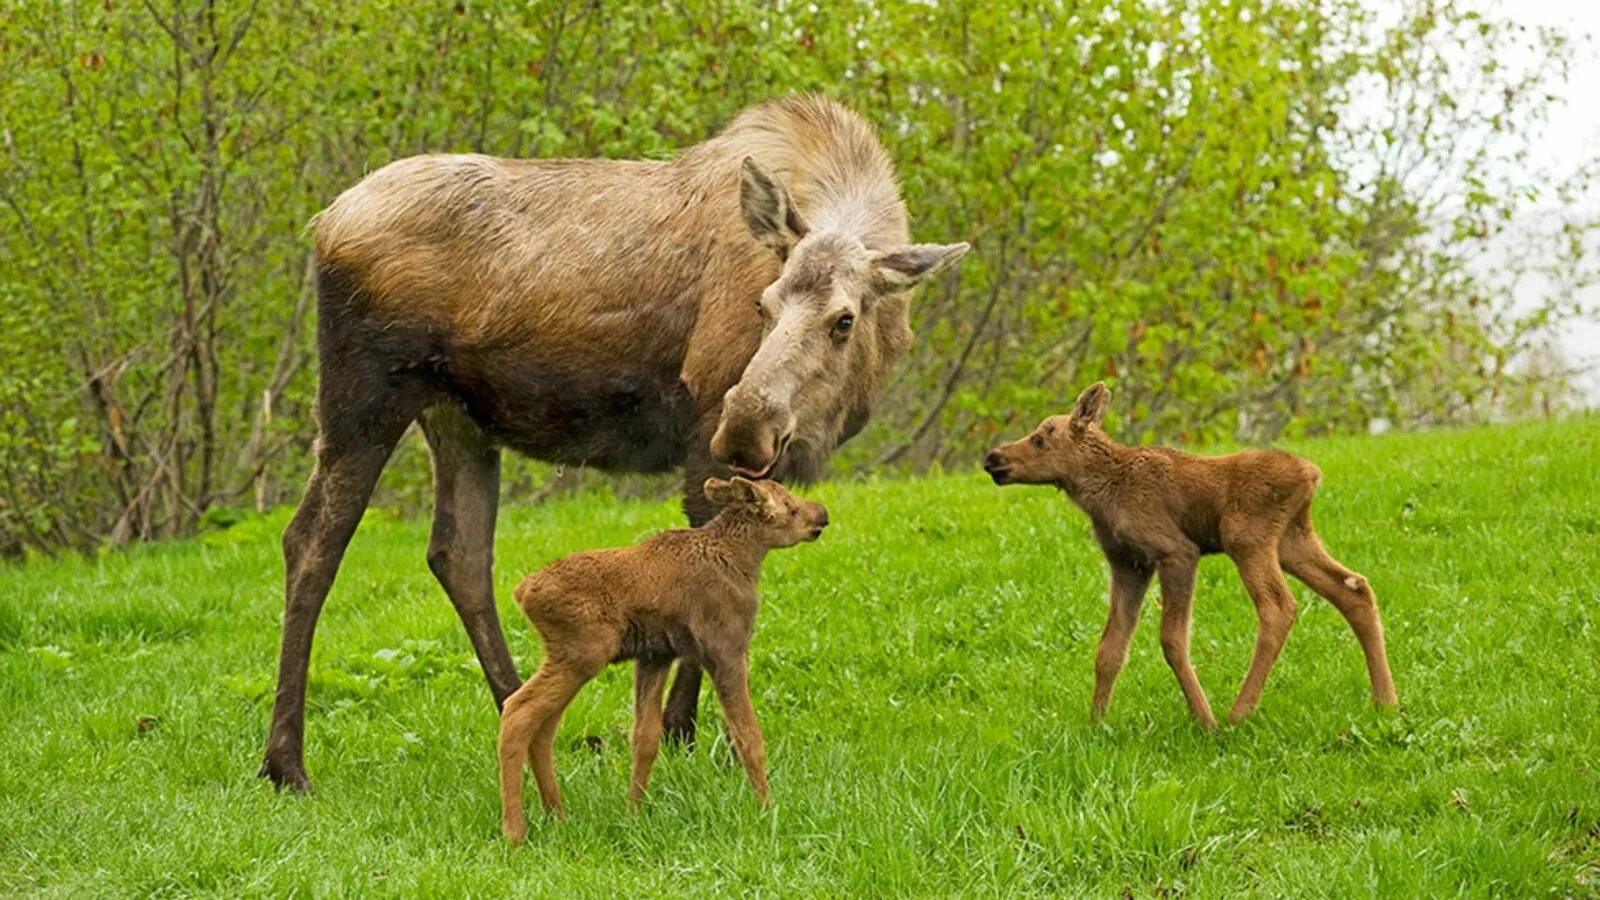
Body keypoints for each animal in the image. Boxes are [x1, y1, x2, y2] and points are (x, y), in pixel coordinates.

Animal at [262, 94, 966, 787]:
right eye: (762, 305)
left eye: (844, 318)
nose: (745, 425)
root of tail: (323, 222)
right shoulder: (704, 429)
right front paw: (682, 731)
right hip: (367, 392)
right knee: (311, 541)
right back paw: (286, 762)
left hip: (456, 414)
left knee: (458, 553)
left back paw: (524, 714)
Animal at [496, 477, 825, 839]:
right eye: (790, 507)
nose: (821, 514)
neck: (745, 559)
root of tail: (522, 593)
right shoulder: (727, 649)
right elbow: (748, 737)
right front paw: (767, 810)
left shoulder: (655, 655)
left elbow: (645, 738)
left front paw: (633, 814)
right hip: (583, 653)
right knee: (517, 711)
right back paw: (515, 830)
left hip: (567, 657)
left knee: (544, 726)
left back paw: (557, 813)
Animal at [979, 381, 1395, 723]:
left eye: (1041, 438)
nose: (993, 458)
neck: (1101, 495)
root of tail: (1312, 474)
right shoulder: (1127, 562)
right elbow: (1109, 648)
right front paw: (1096, 722)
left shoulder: (1176, 550)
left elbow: (1172, 639)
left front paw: (1203, 719)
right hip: (1292, 538)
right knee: (1354, 587)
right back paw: (1386, 700)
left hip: (1244, 535)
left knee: (1279, 606)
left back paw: (1237, 713)